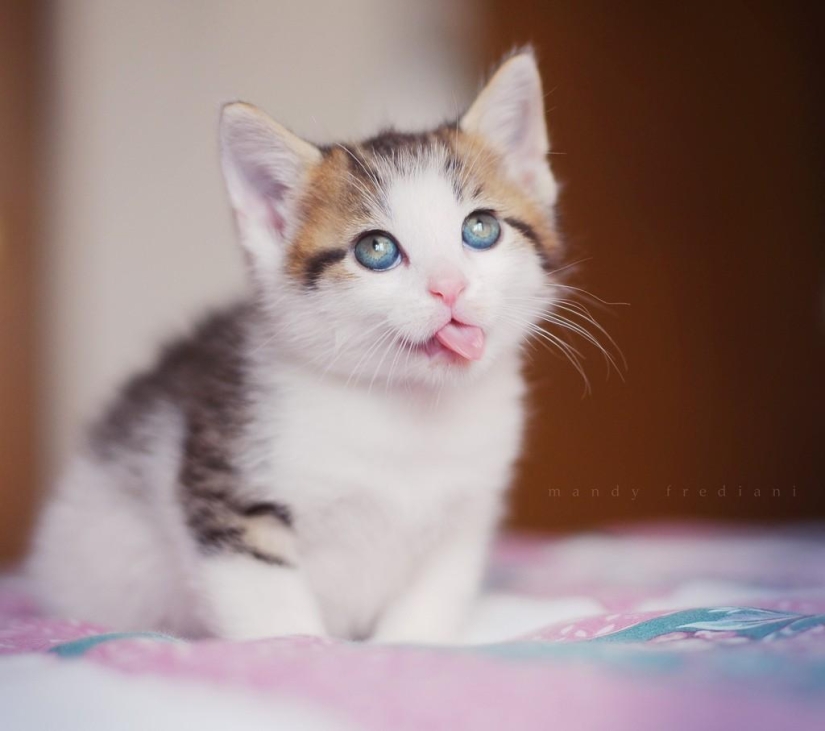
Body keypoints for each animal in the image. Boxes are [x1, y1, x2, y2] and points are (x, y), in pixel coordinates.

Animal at [29, 51, 564, 644]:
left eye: (481, 229)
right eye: (376, 250)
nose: (449, 286)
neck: (404, 409)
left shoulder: (464, 518)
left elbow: (431, 601)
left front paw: (407, 647)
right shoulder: (231, 489)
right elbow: (273, 616)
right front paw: (301, 649)